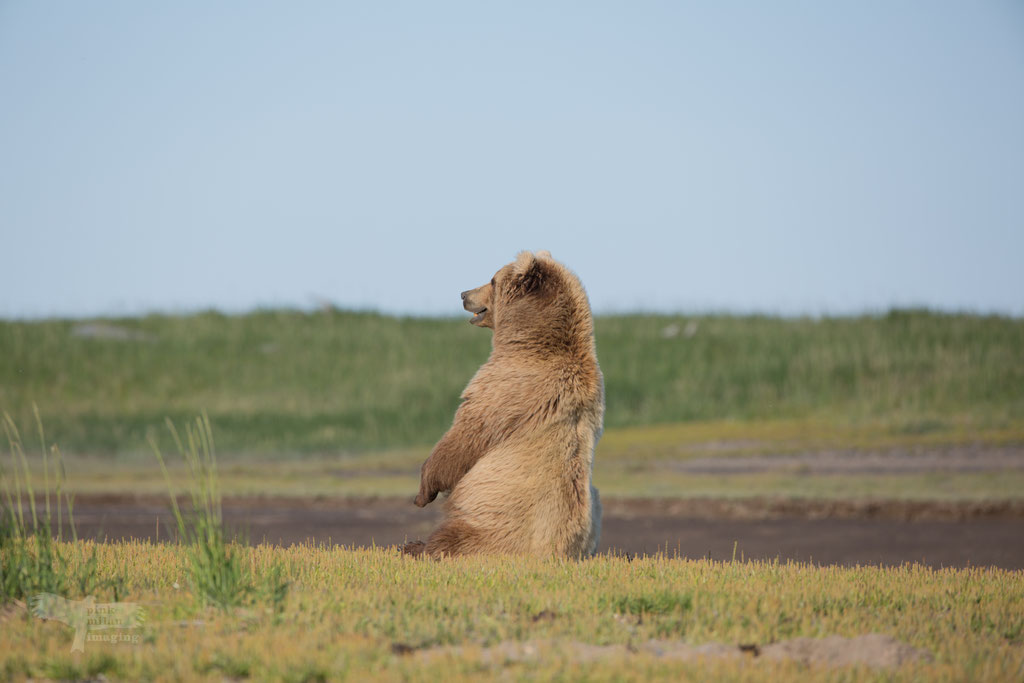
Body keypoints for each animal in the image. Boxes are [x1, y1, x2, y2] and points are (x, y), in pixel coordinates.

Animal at [404, 250, 604, 558]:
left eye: (491, 280)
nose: (464, 294)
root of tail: (561, 553)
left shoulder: (505, 387)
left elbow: (465, 437)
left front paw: (423, 492)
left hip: (492, 519)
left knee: (457, 537)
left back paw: (416, 545)